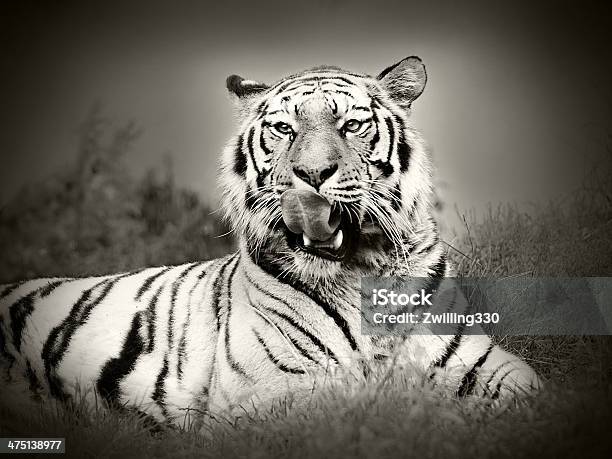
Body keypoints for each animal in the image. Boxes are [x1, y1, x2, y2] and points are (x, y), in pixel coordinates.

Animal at [0, 57, 540, 428]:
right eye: (284, 128)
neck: (359, 269)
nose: (312, 174)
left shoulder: (479, 360)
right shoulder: (271, 391)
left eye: (351, 125)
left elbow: (536, 393)